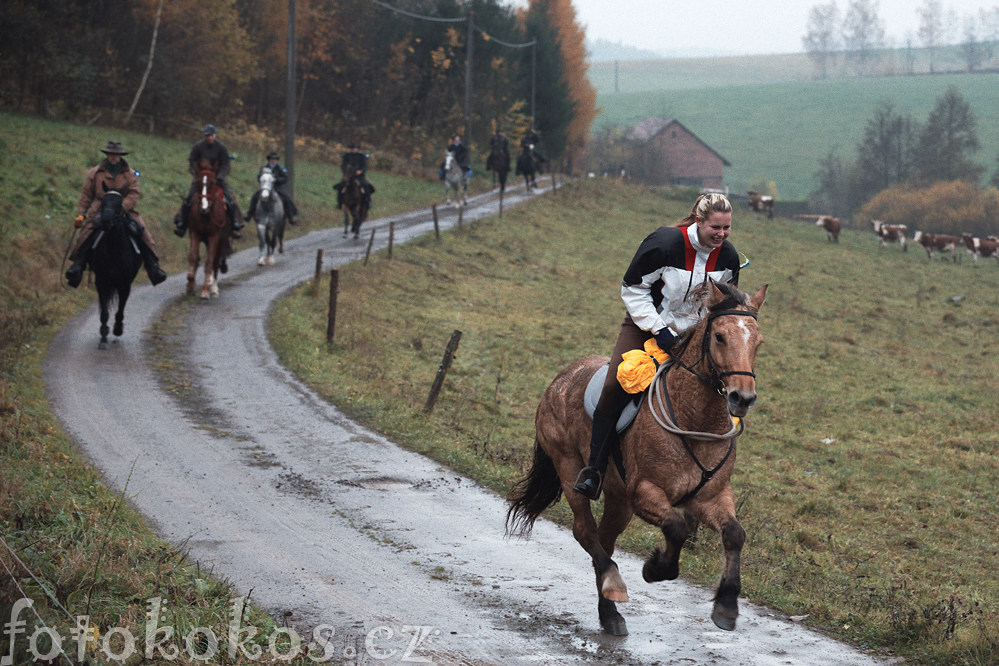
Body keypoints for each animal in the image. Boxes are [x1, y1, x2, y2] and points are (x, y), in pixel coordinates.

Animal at [188, 156, 230, 296]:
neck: (206, 216)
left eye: (212, 182)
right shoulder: (195, 234)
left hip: (221, 241)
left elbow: (209, 263)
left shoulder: (214, 237)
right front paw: (190, 284)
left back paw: (214, 287)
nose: (204, 208)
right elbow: (193, 257)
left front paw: (206, 289)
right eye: (198, 182)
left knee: (215, 262)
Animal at [508, 278, 764, 632]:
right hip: (570, 465)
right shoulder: (644, 492)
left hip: (619, 499)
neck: (695, 422)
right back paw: (613, 584)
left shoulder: (710, 497)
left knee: (604, 539)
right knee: (584, 530)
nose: (743, 398)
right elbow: (676, 528)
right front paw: (655, 569)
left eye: (758, 342)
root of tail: (562, 377)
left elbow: (735, 534)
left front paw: (726, 604)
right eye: (720, 336)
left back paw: (609, 613)